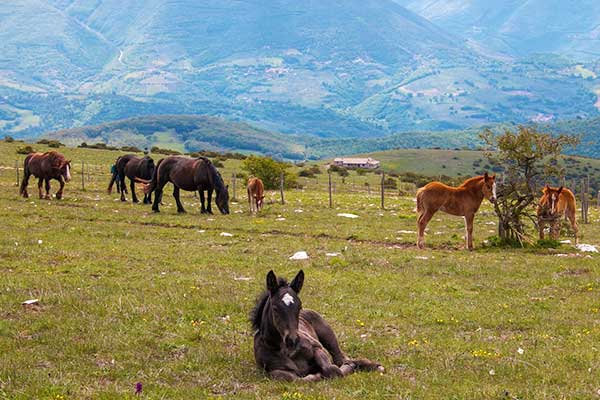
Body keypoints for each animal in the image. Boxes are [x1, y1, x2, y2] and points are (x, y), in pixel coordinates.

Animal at [250, 268, 382, 382]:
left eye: (299, 307)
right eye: (275, 308)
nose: (293, 340)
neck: (287, 351)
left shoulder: (317, 347)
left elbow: (333, 369)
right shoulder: (273, 371)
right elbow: (296, 379)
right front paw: (316, 374)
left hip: (328, 335)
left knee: (341, 358)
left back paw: (373, 365)